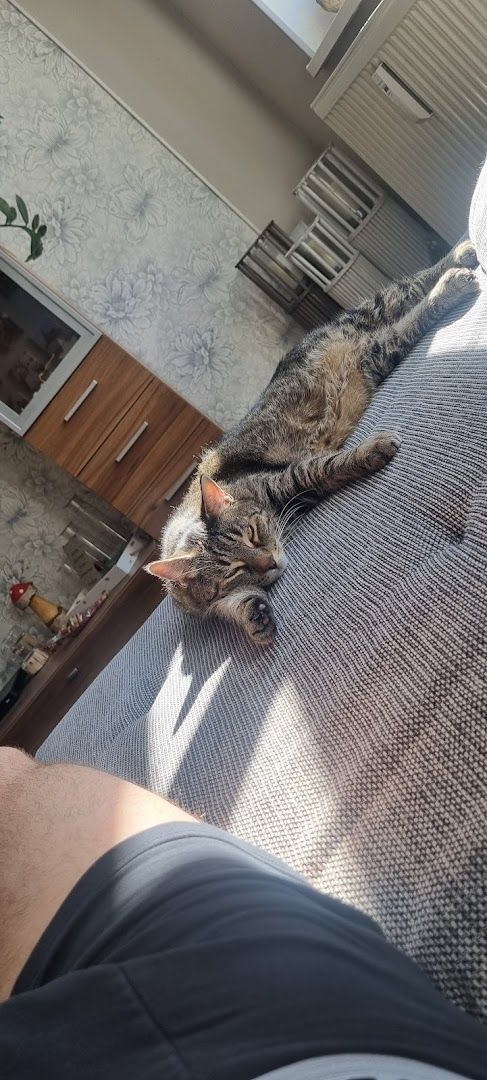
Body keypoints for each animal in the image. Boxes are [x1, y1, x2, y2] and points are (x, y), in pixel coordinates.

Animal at [145, 244, 479, 643]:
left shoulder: (287, 478)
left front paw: (373, 449)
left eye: (253, 534)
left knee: (409, 294)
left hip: (369, 336)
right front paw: (253, 614)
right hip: (374, 354)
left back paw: (457, 269)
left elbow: (330, 465)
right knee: (402, 308)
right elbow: (226, 604)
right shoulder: (201, 604)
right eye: (234, 570)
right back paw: (460, 266)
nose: (271, 562)